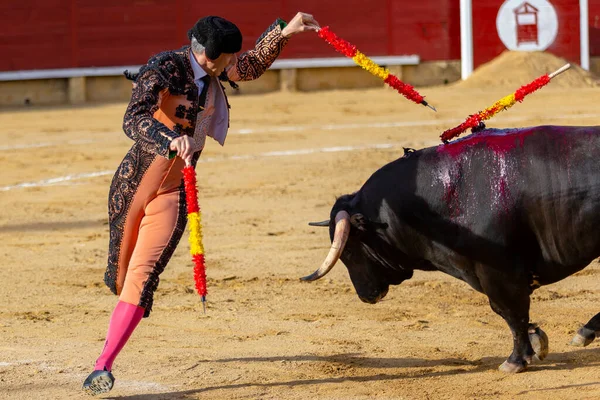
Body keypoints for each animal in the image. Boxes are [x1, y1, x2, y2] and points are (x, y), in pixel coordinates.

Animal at [302, 125, 600, 372]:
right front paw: (536, 342)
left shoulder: (499, 274)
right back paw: (585, 332)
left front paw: (515, 360)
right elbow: (516, 315)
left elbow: (510, 312)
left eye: (349, 251)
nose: (366, 296)